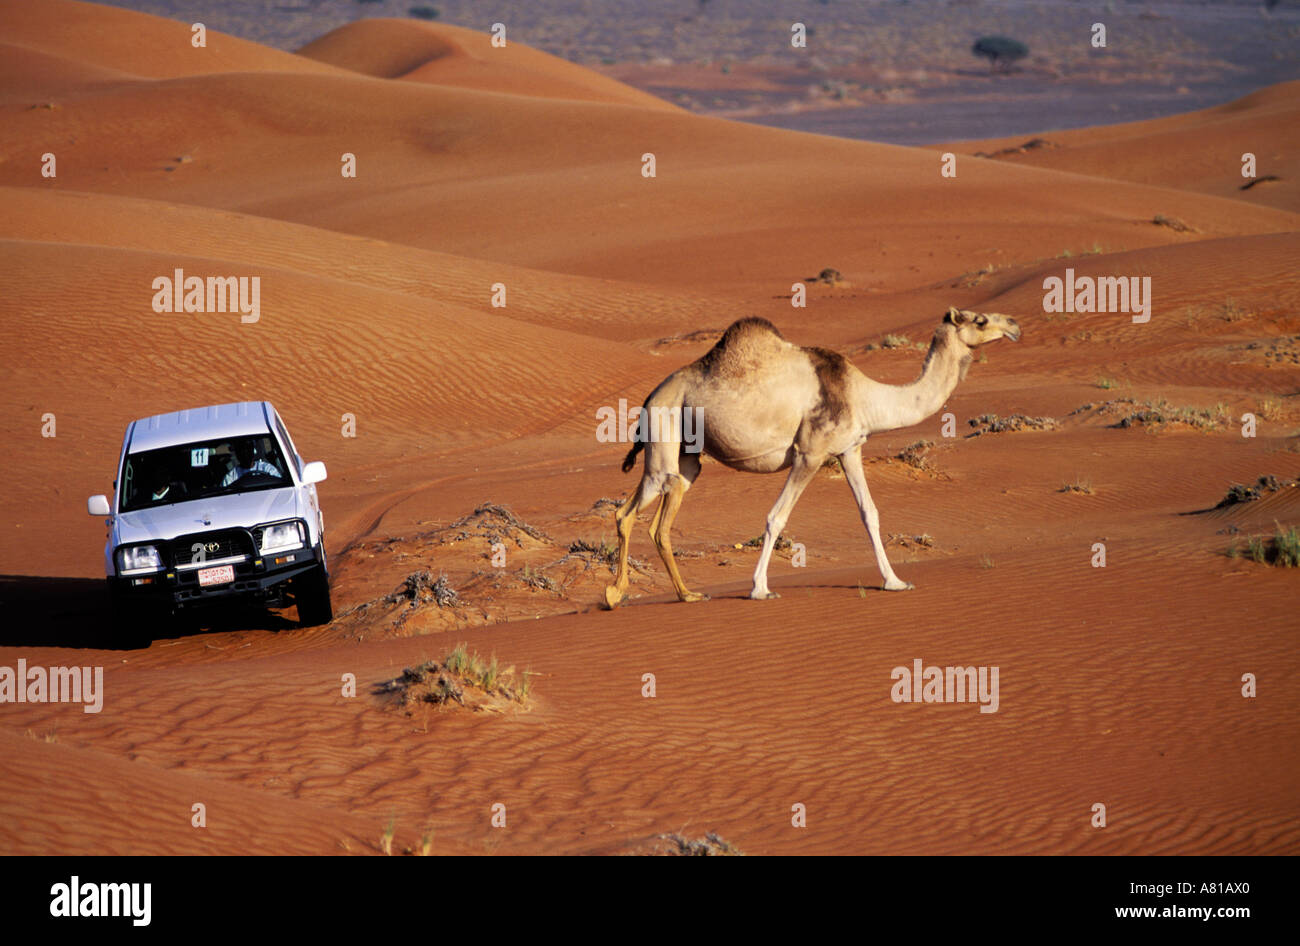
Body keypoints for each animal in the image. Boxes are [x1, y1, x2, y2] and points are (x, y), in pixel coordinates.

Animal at [603, 306, 1019, 610]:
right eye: (980, 319)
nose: (1014, 324)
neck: (865, 397)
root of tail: (650, 397)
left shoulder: (850, 448)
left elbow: (870, 513)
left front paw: (895, 581)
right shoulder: (811, 452)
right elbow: (776, 517)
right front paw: (760, 589)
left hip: (688, 454)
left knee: (641, 511)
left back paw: (649, 593)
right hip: (665, 427)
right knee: (650, 506)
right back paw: (645, 595)